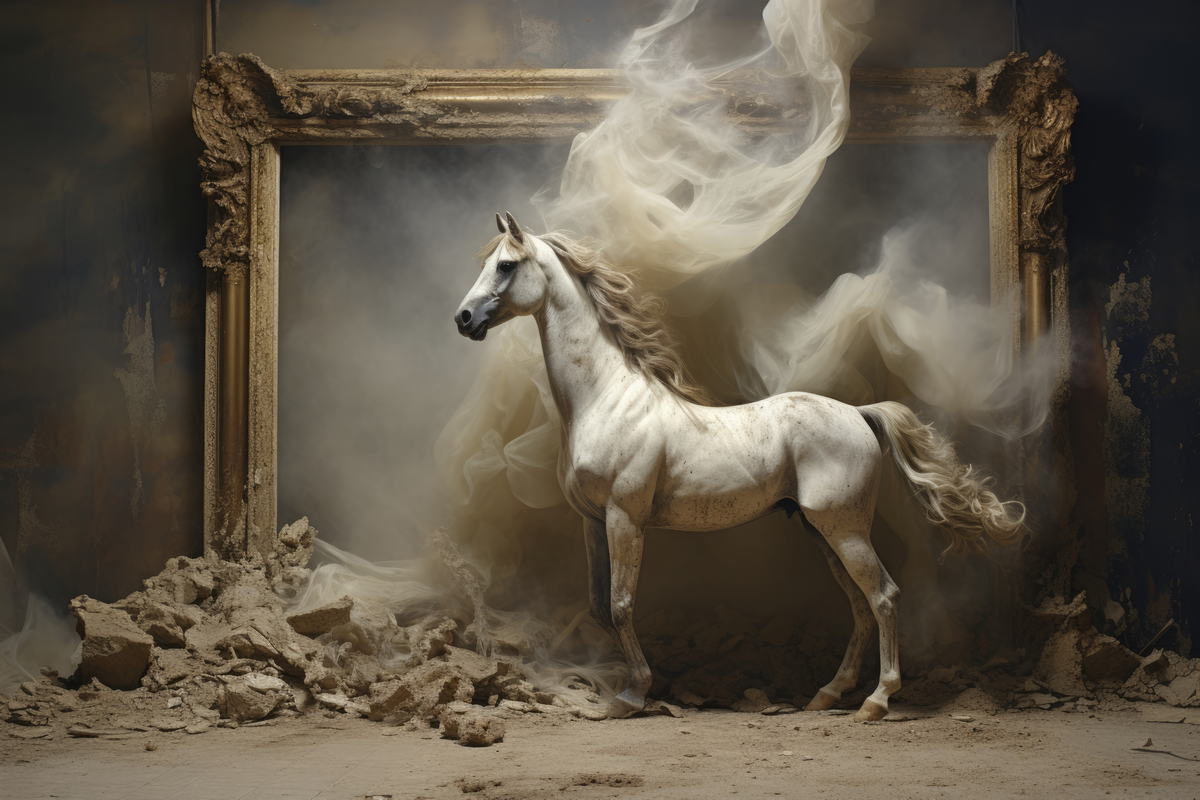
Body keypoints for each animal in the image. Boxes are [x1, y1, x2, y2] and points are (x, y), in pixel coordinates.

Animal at [453, 212, 1025, 721]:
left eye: (506, 265)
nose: (463, 319)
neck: (606, 399)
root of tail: (859, 413)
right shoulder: (592, 522)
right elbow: (598, 605)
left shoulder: (625, 518)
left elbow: (621, 603)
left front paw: (632, 695)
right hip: (822, 532)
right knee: (860, 605)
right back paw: (826, 695)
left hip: (845, 529)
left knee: (883, 597)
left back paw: (876, 701)